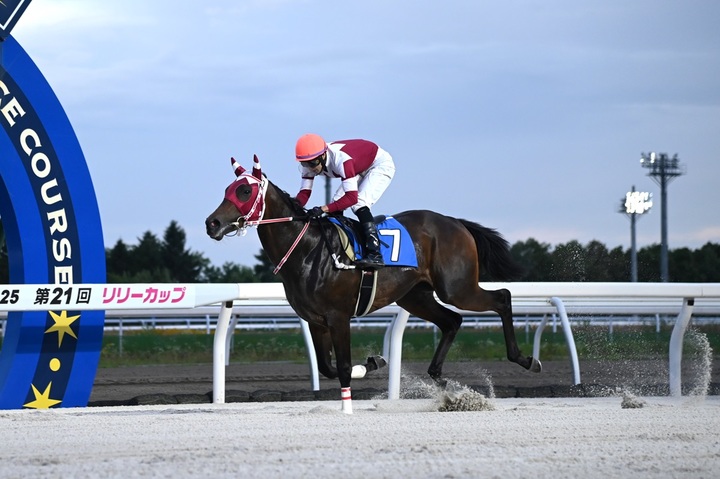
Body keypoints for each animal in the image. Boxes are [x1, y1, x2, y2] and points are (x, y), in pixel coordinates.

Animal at [205, 155, 541, 413]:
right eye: (227, 189)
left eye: (245, 190)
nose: (212, 223)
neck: (308, 249)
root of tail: (455, 222)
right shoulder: (315, 320)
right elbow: (327, 367)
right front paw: (374, 361)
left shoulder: (338, 316)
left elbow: (341, 367)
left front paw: (349, 405)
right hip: (414, 296)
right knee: (452, 321)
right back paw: (444, 384)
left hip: (457, 288)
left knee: (502, 297)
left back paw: (525, 359)